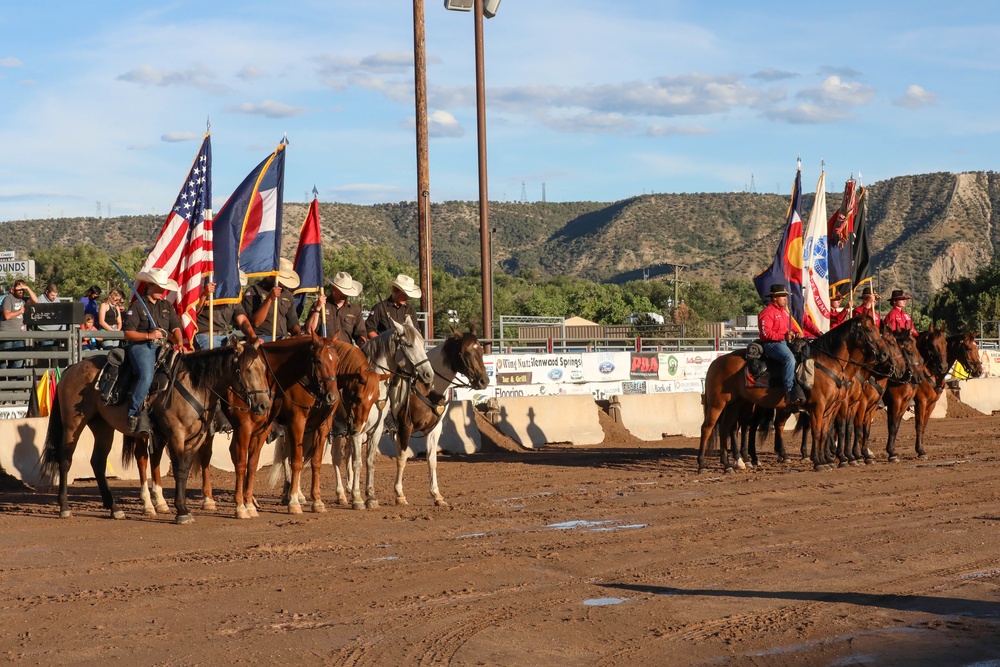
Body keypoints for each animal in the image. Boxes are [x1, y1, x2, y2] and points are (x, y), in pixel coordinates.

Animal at [41, 342, 272, 524]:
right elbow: (178, 470)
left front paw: (182, 508)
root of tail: (71, 367)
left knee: (97, 461)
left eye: (263, 369)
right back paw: (65, 507)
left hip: (102, 426)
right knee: (65, 460)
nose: (263, 405)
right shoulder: (176, 435)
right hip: (73, 424)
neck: (194, 385)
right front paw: (181, 511)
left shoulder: (195, 439)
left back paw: (114, 508)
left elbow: (184, 470)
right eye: (247, 370)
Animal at [700, 316, 896, 472]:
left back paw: (729, 464)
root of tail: (716, 362)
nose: (884, 355)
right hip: (718, 404)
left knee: (727, 428)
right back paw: (705, 465)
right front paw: (820, 462)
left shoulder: (830, 408)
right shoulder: (819, 407)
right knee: (708, 428)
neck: (827, 363)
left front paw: (827, 460)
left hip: (735, 404)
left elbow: (825, 432)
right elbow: (818, 432)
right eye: (869, 330)